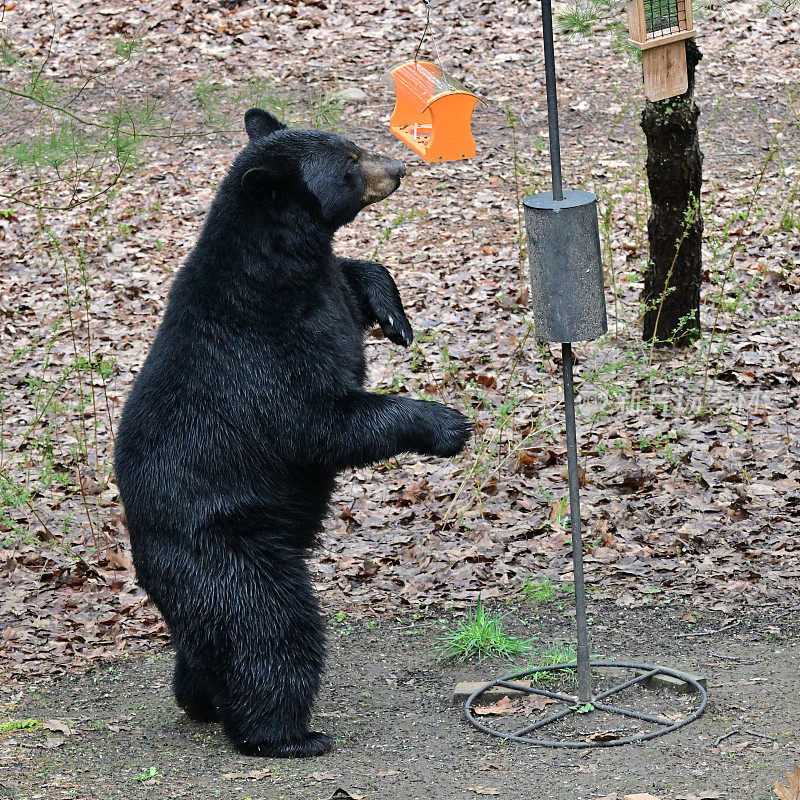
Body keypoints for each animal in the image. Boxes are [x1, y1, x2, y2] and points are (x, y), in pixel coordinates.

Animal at [115, 109, 472, 760]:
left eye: (352, 145)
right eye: (350, 162)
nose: (398, 165)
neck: (280, 268)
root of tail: (148, 570)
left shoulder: (319, 292)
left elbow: (354, 280)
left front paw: (394, 312)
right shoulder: (261, 352)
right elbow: (320, 423)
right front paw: (445, 423)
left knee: (209, 650)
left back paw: (200, 700)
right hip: (231, 557)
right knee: (271, 632)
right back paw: (286, 734)